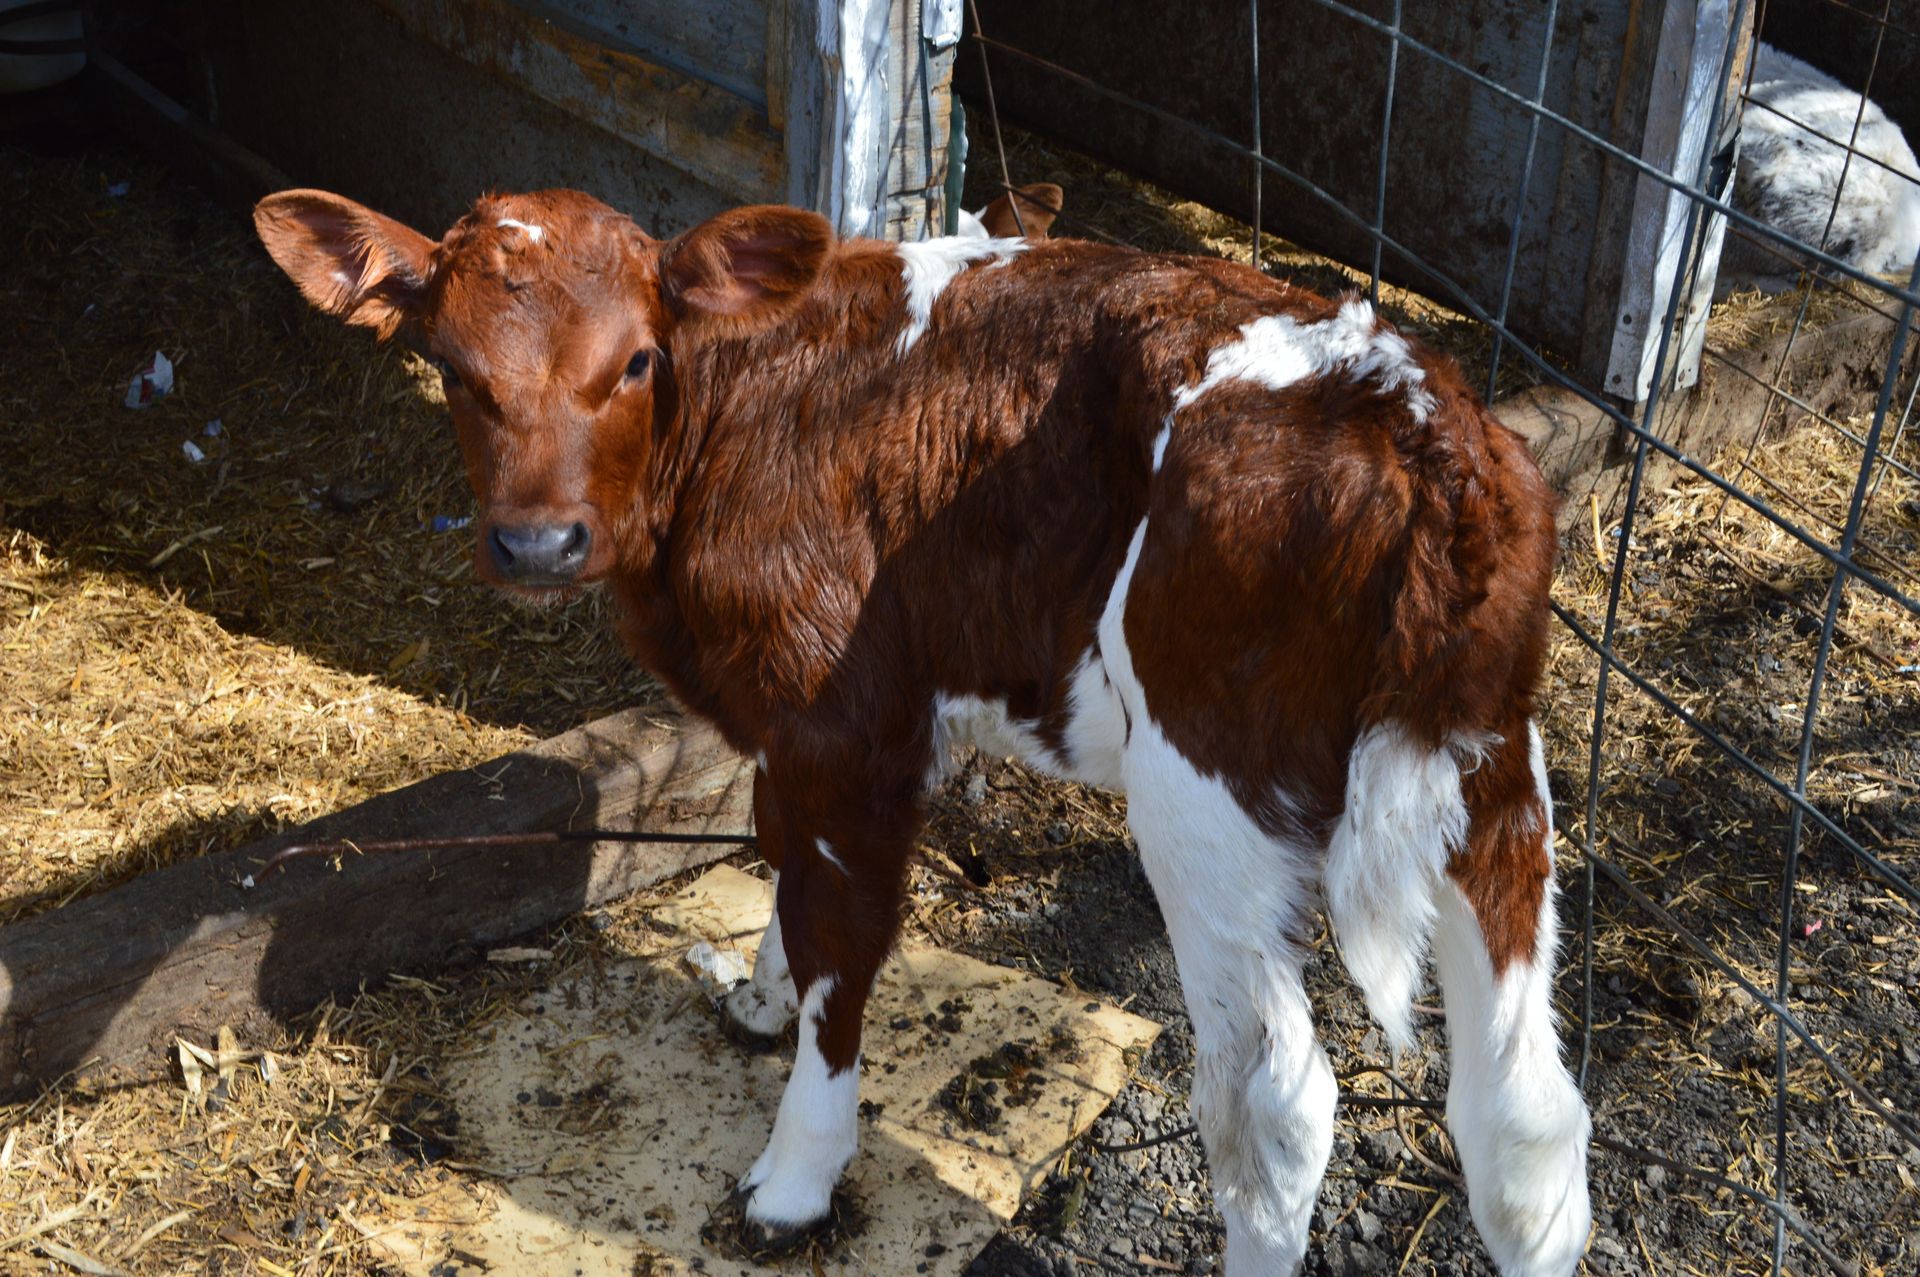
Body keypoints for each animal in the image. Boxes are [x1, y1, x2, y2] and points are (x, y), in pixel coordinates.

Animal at [253, 187, 1592, 1276]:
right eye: (449, 364)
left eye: (635, 360)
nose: (537, 543)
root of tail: (1412, 412)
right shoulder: (794, 720)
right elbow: (779, 858)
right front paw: (757, 997)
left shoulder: (847, 719)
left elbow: (840, 945)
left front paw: (794, 1177)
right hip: (1492, 761)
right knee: (1525, 1118)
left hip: (1203, 786)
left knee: (1276, 1104)